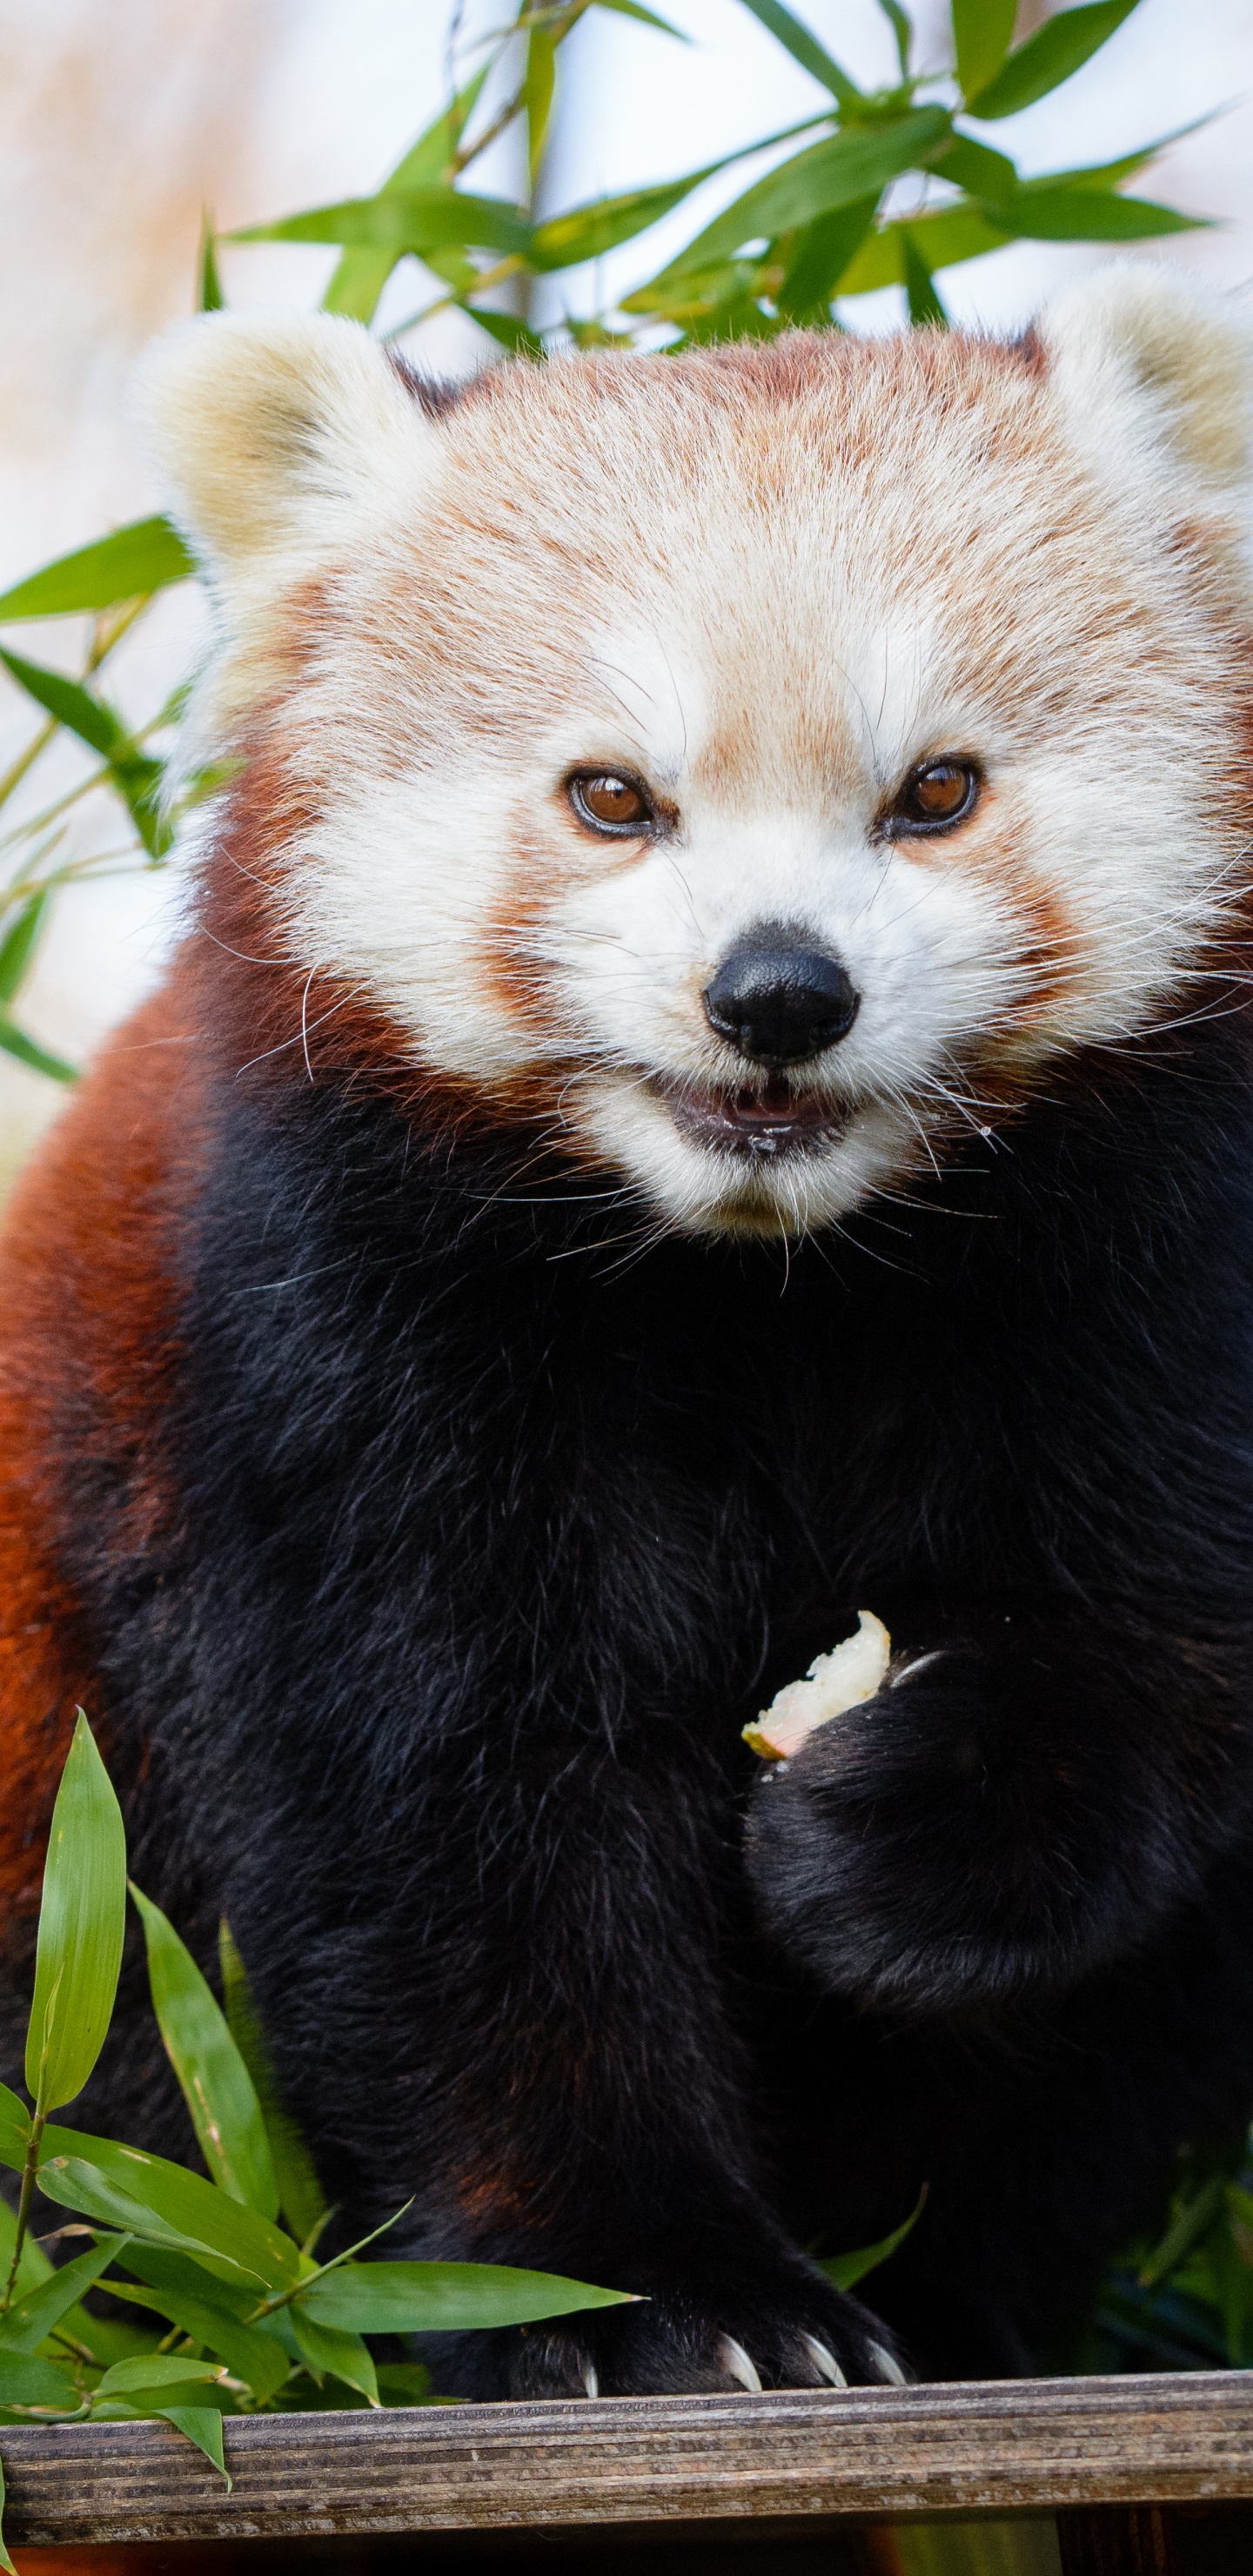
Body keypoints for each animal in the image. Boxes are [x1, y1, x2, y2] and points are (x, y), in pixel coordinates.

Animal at [1, 265, 1252, 2399]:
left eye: (935, 792)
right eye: (613, 799)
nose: (778, 993)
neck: (771, 1281)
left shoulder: (1149, 1278)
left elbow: (1154, 1665)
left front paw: (886, 1832)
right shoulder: (327, 1338)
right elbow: (443, 1821)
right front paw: (650, 2291)